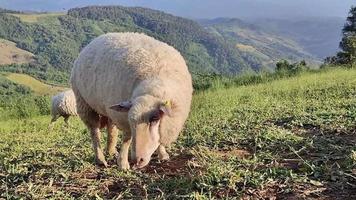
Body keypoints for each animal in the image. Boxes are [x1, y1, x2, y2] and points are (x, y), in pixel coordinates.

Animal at [69, 32, 192, 169]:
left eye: (155, 119)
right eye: (131, 120)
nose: (137, 160)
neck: (153, 83)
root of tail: (96, 39)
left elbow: (160, 136)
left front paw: (163, 154)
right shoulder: (124, 118)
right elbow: (127, 138)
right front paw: (123, 163)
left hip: (109, 108)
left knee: (111, 128)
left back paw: (111, 151)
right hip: (84, 103)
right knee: (94, 132)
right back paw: (100, 159)